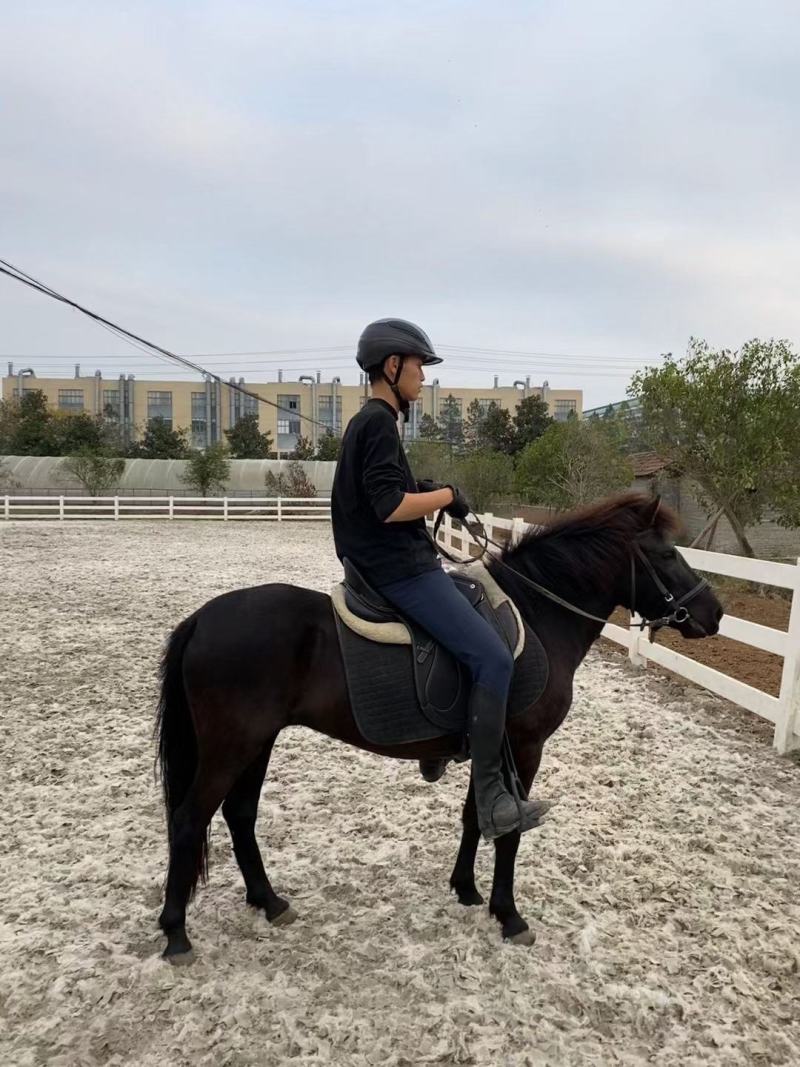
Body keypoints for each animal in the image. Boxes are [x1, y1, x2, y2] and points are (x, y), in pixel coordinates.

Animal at [155, 492, 723, 961]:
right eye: (666, 554)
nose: (714, 612)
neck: (538, 616)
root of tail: (202, 619)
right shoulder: (525, 747)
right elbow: (509, 831)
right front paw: (508, 915)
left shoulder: (490, 745)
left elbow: (477, 816)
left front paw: (466, 890)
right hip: (233, 746)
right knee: (188, 821)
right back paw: (176, 932)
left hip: (257, 744)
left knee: (239, 815)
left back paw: (268, 901)